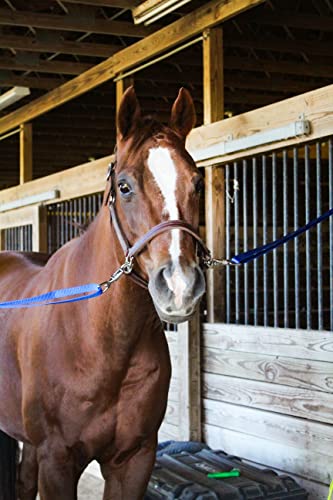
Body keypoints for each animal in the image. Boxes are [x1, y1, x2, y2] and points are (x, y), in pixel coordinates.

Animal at [0, 87, 205, 500]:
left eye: (197, 183)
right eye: (124, 186)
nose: (179, 286)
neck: (99, 343)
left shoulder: (134, 459)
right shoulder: (57, 460)